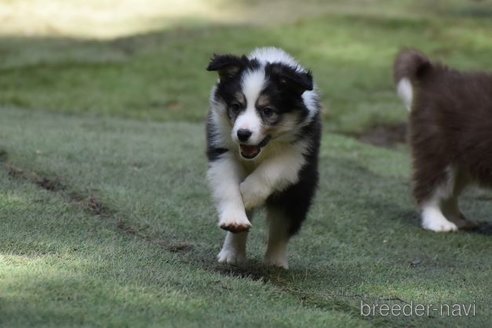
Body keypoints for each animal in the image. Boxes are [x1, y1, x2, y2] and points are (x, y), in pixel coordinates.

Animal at [206, 48, 320, 270]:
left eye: (267, 111)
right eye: (236, 106)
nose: (242, 134)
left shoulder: (299, 151)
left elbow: (272, 169)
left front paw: (248, 193)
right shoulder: (222, 147)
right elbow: (228, 186)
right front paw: (234, 218)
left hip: (297, 195)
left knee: (281, 229)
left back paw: (275, 261)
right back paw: (232, 253)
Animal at [394, 49, 492, 233]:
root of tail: (436, 74)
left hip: (463, 161)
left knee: (449, 194)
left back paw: (458, 220)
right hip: (437, 148)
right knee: (429, 188)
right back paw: (438, 222)